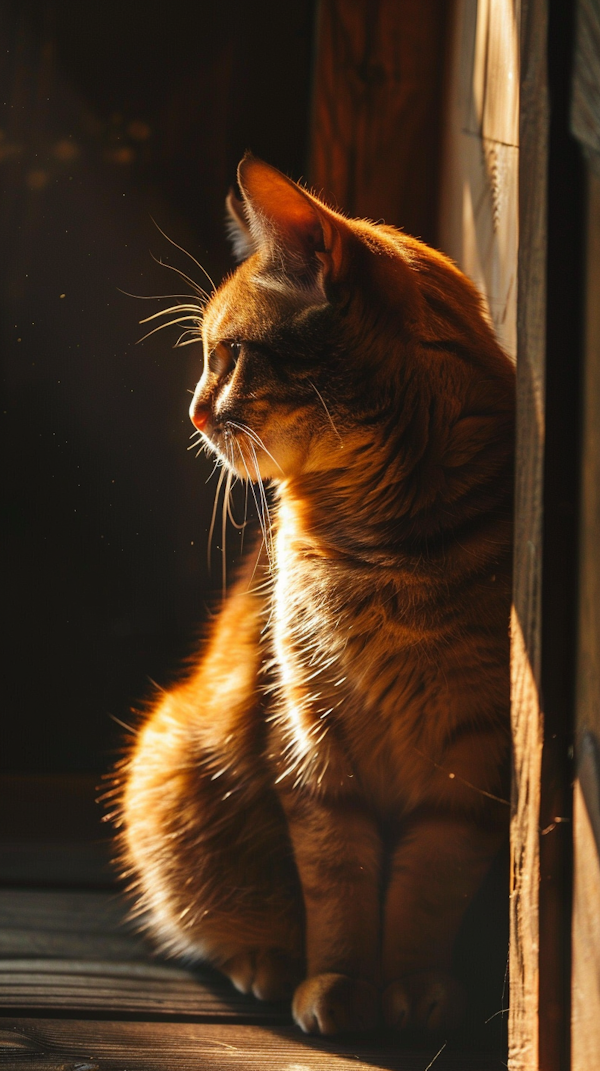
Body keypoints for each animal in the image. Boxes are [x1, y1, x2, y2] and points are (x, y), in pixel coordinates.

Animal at [119, 155, 514, 1032]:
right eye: (206, 354)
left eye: (230, 353)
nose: (194, 413)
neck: (388, 552)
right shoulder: (315, 738)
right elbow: (339, 881)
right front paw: (337, 983)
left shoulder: (472, 757)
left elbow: (427, 887)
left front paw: (414, 984)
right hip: (171, 761)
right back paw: (266, 961)